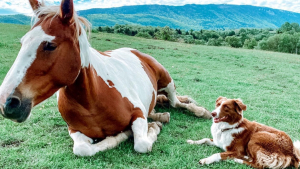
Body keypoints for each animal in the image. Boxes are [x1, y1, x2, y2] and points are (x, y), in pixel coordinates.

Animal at [0, 0, 211, 156]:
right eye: (23, 42)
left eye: (50, 45)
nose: (7, 103)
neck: (93, 100)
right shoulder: (74, 130)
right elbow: (83, 149)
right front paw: (124, 134)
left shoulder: (138, 114)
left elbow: (142, 144)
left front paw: (150, 130)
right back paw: (160, 115)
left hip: (166, 79)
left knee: (176, 102)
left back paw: (200, 112)